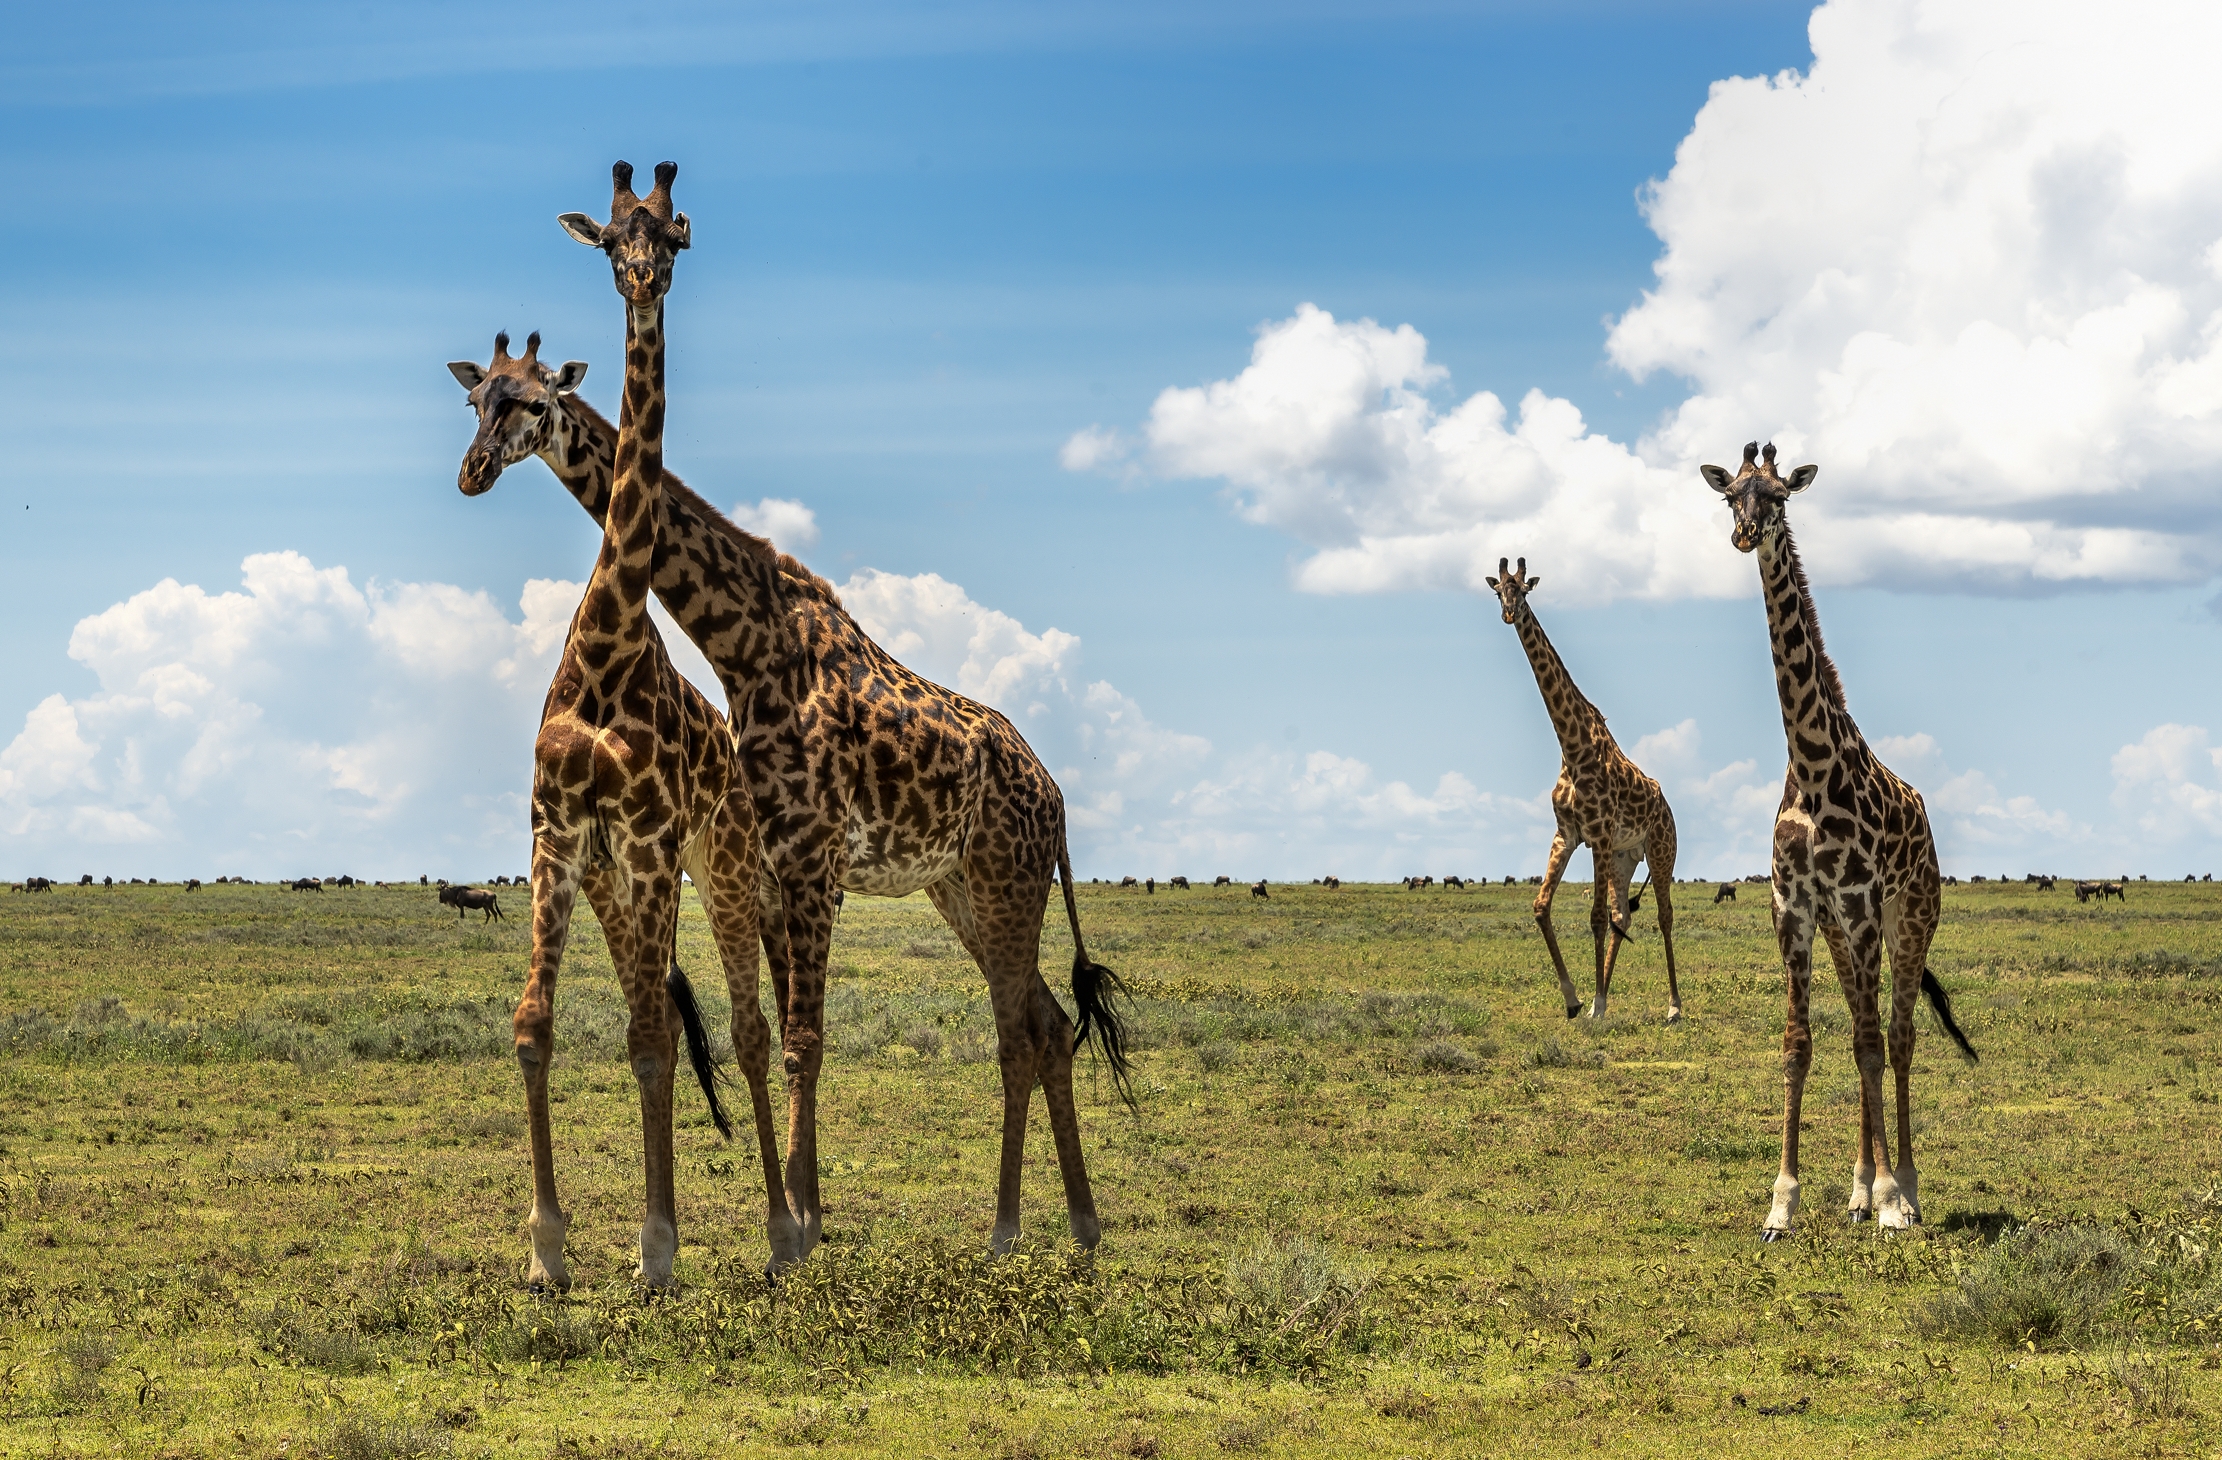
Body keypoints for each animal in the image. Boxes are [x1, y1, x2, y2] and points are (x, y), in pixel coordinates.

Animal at [449, 307, 1130, 1270]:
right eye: (477, 400)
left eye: (536, 402)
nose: (473, 471)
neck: (745, 636)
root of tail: (1058, 795)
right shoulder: (774, 865)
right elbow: (782, 1031)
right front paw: (803, 1219)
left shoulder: (812, 862)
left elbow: (804, 1038)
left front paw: (795, 1235)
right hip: (965, 888)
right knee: (1047, 1020)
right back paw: (1077, 1224)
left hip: (1007, 882)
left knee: (1015, 1033)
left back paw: (1006, 1230)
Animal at [514, 160, 802, 1291]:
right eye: (607, 239)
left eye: (675, 232)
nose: (643, 280)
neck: (601, 649)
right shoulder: (558, 837)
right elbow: (540, 1026)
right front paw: (547, 1251)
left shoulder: (645, 842)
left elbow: (653, 1037)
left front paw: (658, 1247)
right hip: (621, 877)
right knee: (671, 1020)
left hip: (717, 861)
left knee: (749, 1028)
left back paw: (783, 1234)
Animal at [1486, 557, 1684, 1022]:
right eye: (1498, 591)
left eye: (1524, 590)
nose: (1509, 614)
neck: (1572, 749)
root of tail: (1668, 807)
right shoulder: (1568, 834)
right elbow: (1542, 907)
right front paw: (1577, 1000)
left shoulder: (1598, 835)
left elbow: (1593, 918)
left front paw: (1594, 1002)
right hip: (1625, 858)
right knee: (1622, 916)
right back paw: (1605, 997)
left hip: (1660, 850)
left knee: (1663, 916)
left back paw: (1673, 1006)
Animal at [1702, 442, 1978, 1238]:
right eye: (1730, 493)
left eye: (1779, 497)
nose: (1745, 535)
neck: (1812, 767)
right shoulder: (1795, 910)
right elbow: (1801, 1046)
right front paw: (1782, 1203)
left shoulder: (1857, 907)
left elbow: (1870, 1044)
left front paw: (1891, 1200)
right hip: (1845, 933)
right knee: (1868, 1029)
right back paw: (1858, 1191)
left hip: (1908, 918)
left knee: (1898, 1036)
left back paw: (1903, 1189)